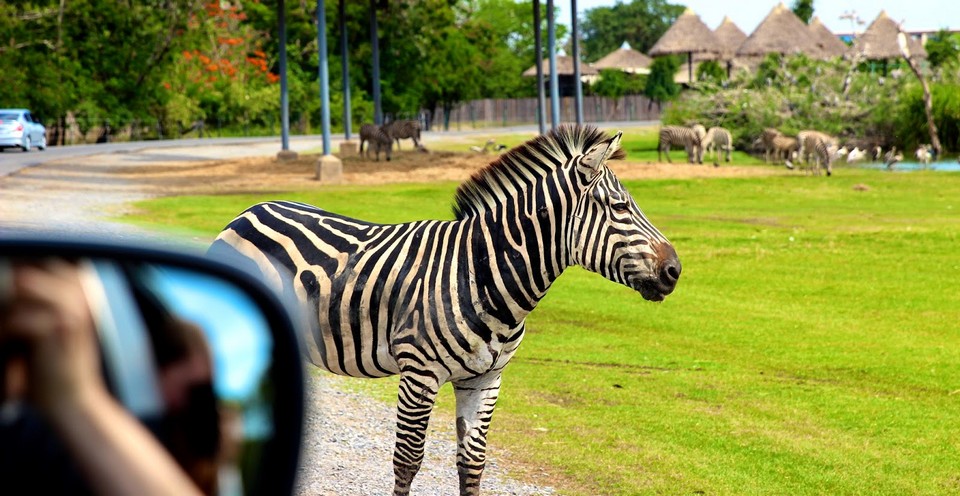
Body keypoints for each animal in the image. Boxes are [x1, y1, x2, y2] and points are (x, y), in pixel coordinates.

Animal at [208, 125, 684, 496]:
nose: (675, 271)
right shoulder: (419, 373)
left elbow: (472, 463)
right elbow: (407, 460)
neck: (481, 273)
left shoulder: (486, 379)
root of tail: (251, 209)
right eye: (620, 207)